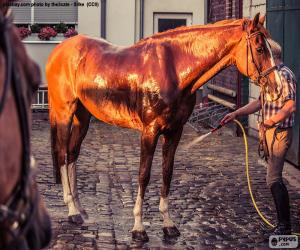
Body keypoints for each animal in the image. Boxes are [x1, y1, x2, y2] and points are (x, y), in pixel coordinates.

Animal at [46, 12, 282, 241]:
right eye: (260, 48)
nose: (277, 87)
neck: (173, 69)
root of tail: (58, 51)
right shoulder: (150, 132)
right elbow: (144, 175)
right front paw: (138, 227)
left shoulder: (174, 131)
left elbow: (167, 172)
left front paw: (168, 225)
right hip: (64, 114)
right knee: (62, 155)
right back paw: (72, 210)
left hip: (82, 117)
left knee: (72, 154)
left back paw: (80, 209)